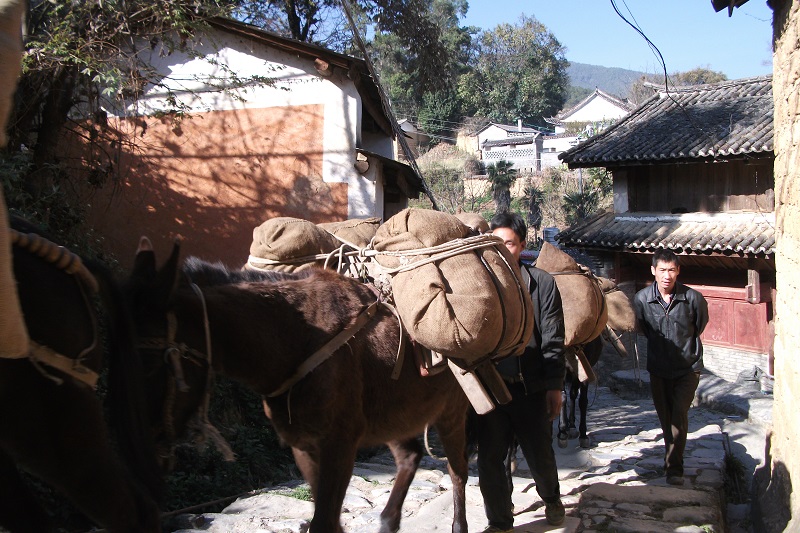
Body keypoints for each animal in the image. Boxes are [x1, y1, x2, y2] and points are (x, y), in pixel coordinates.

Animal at [127, 240, 472, 532]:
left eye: (153, 363)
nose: (142, 464)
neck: (298, 338)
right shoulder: (304, 445)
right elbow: (328, 520)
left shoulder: (339, 445)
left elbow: (324, 522)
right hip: (396, 416)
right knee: (410, 457)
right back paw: (388, 521)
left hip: (452, 414)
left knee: (458, 473)